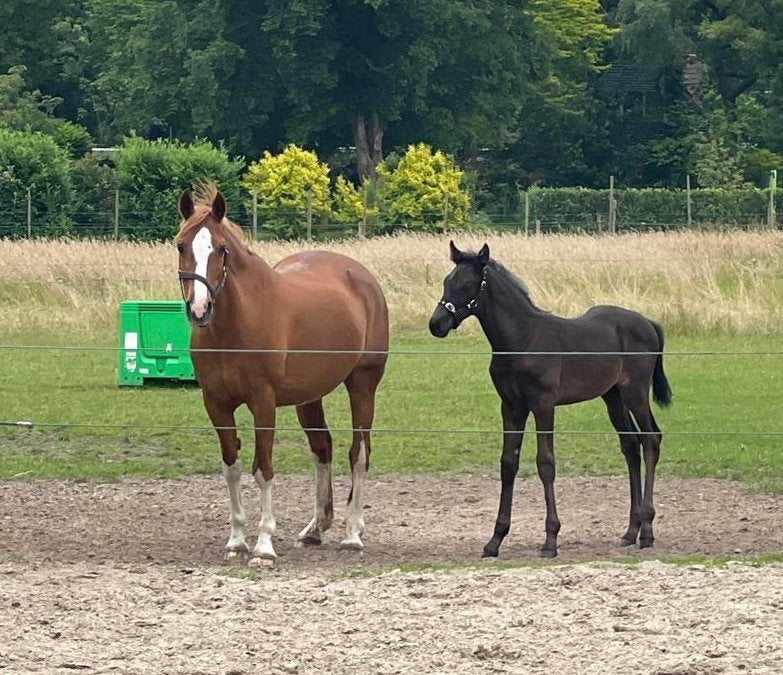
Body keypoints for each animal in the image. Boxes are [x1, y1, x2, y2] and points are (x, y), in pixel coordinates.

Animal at [175, 183, 389, 565]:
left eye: (222, 249)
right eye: (181, 245)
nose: (199, 309)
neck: (234, 327)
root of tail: (361, 276)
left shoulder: (263, 402)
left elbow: (264, 469)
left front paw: (263, 546)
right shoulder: (216, 403)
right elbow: (232, 467)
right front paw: (236, 541)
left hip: (363, 385)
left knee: (359, 453)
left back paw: (353, 534)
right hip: (310, 397)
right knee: (322, 449)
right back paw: (316, 528)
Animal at [429, 241, 672, 559]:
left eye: (467, 285)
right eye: (447, 282)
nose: (436, 324)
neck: (521, 340)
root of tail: (649, 323)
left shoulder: (543, 404)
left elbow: (545, 463)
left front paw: (550, 540)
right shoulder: (511, 407)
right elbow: (508, 463)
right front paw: (494, 541)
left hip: (636, 392)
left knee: (650, 439)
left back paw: (647, 531)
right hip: (613, 396)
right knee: (630, 445)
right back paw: (631, 531)